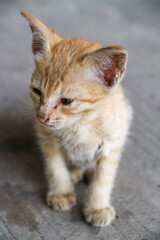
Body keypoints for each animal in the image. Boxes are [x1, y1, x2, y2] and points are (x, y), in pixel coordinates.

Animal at [20, 11, 132, 227]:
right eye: (37, 92)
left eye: (66, 101)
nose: (41, 117)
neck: (80, 124)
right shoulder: (46, 137)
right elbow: (55, 167)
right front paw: (61, 192)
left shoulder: (114, 140)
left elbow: (104, 177)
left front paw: (97, 207)